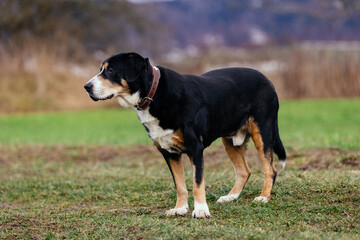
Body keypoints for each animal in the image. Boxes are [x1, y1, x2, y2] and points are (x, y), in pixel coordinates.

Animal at [84, 52, 286, 218]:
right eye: (102, 69)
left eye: (110, 70)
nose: (86, 86)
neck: (154, 95)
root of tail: (267, 79)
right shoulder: (169, 152)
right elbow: (180, 186)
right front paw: (180, 209)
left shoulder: (195, 148)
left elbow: (197, 183)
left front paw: (201, 210)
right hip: (230, 140)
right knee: (244, 171)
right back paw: (231, 197)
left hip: (262, 132)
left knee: (271, 169)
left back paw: (263, 197)